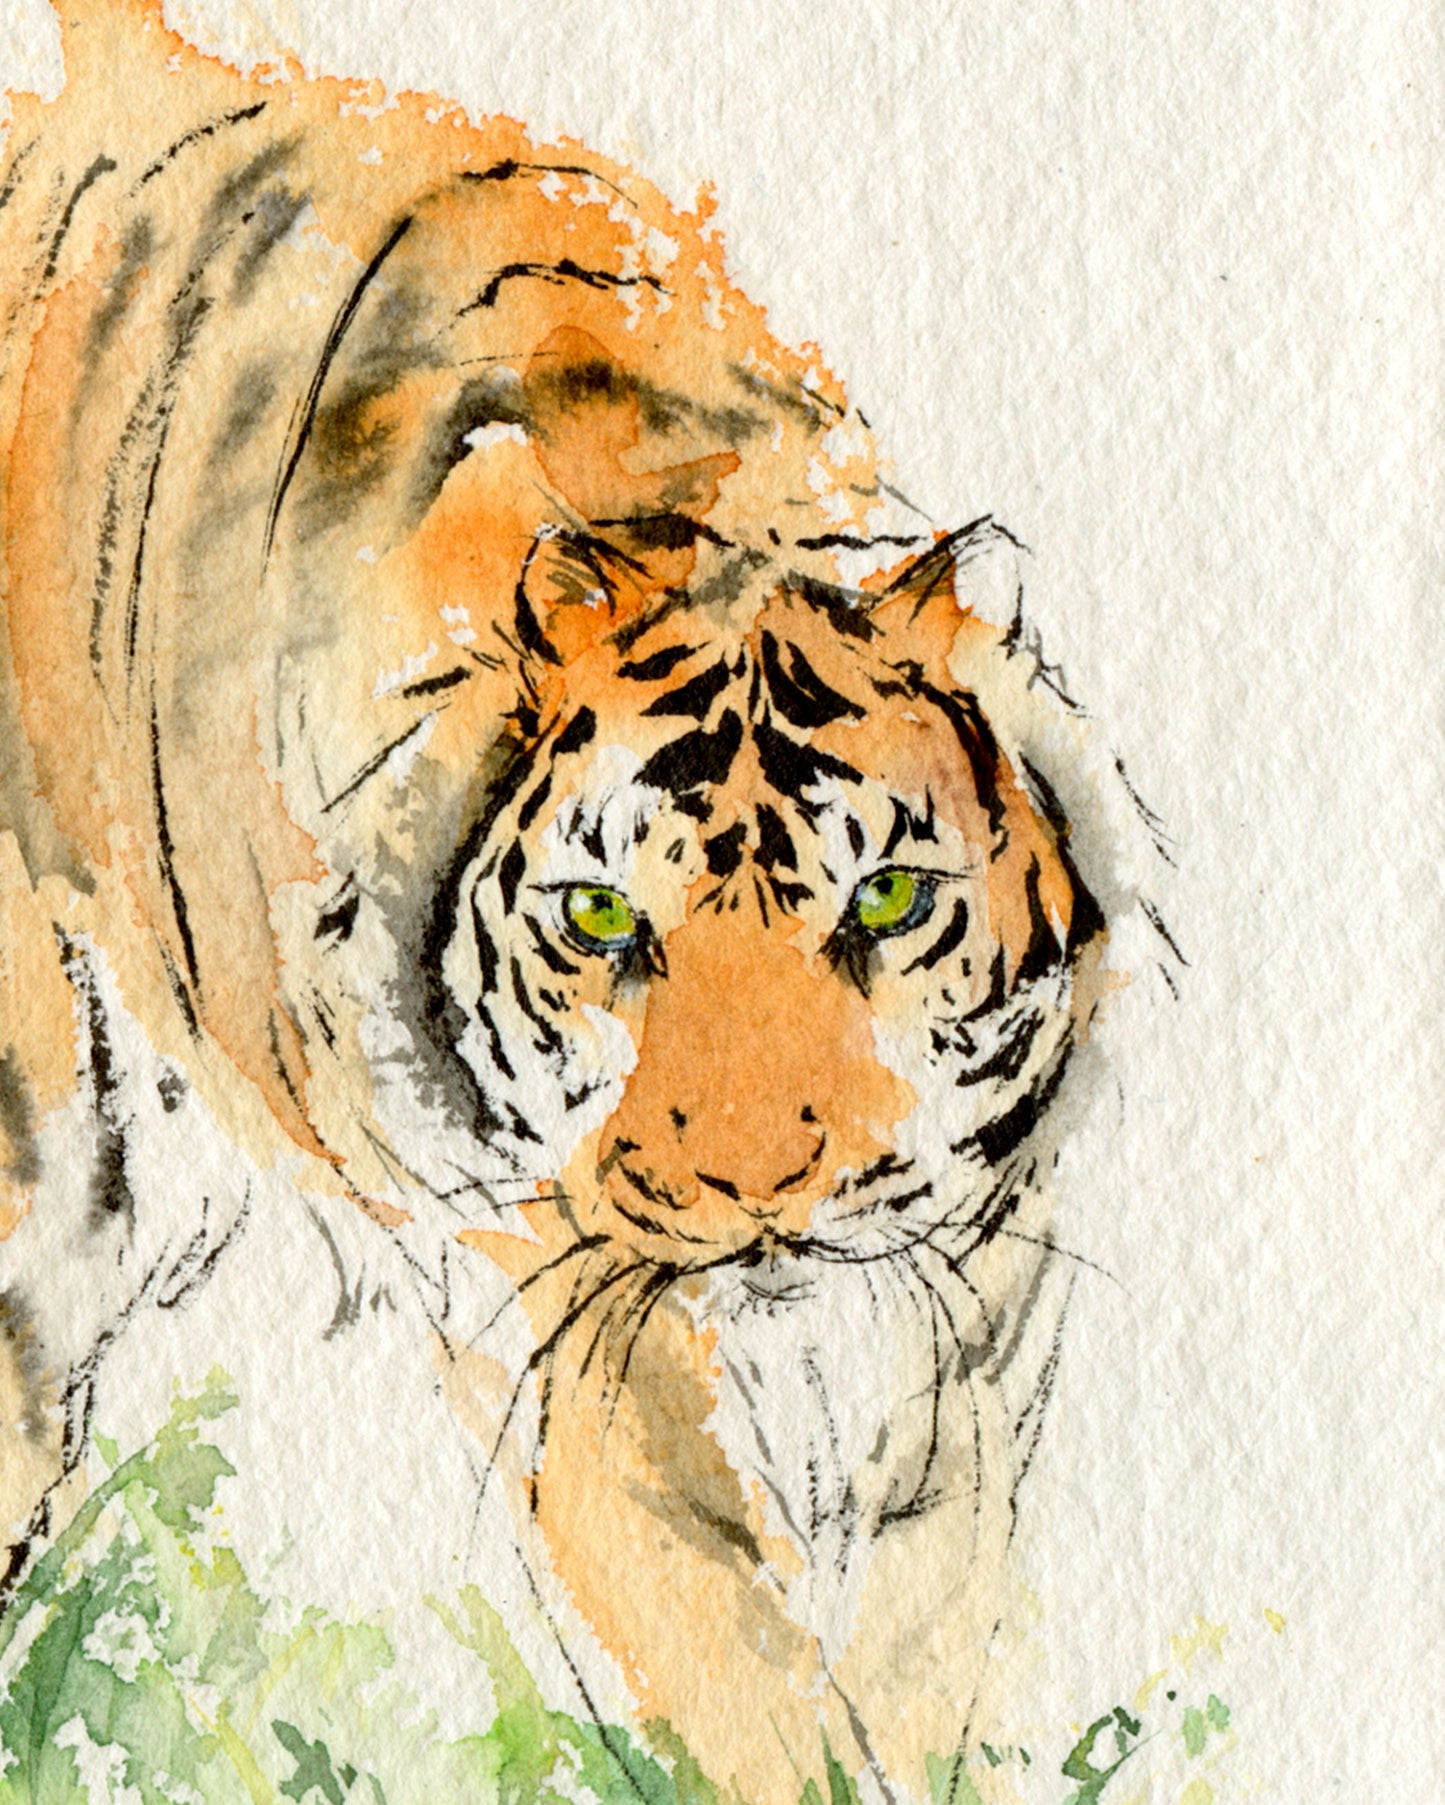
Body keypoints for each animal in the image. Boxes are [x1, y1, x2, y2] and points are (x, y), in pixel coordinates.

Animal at [0, 3, 1171, 1798]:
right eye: (607, 922)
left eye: (890, 899)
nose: (761, 1189)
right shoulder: (569, 1306)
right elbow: (746, 1658)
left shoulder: (976, 1300)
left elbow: (921, 1630)